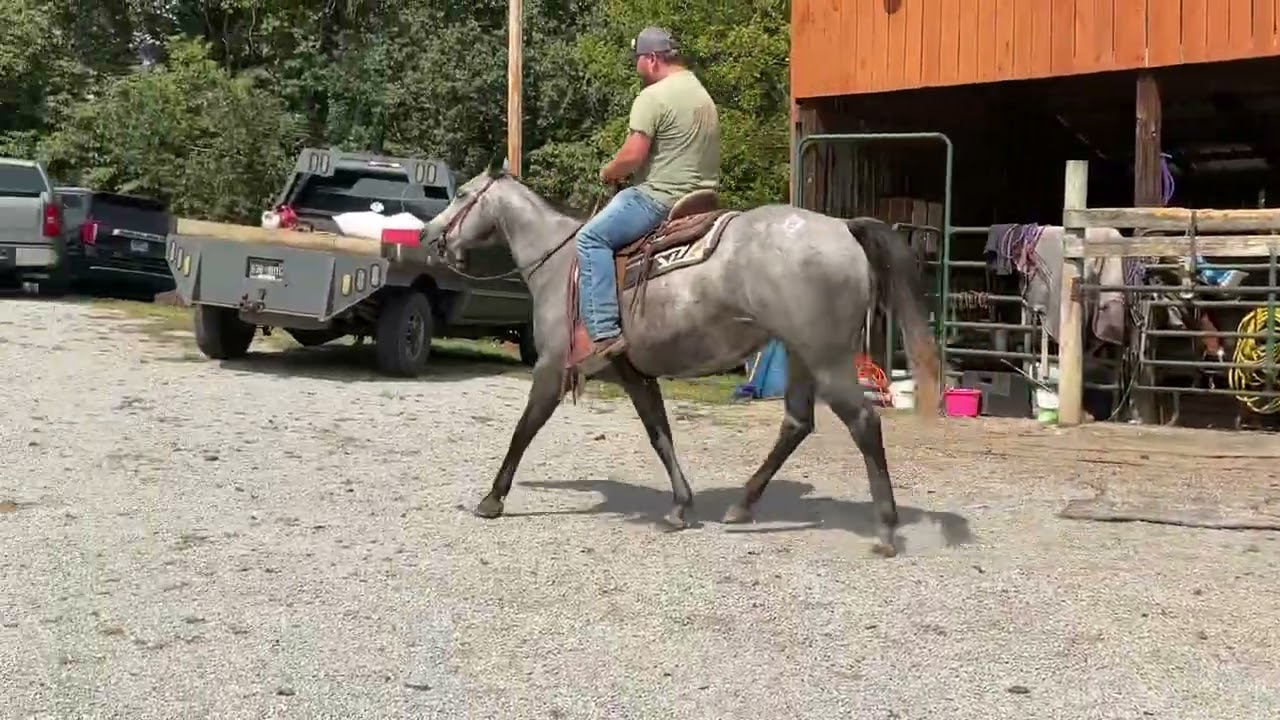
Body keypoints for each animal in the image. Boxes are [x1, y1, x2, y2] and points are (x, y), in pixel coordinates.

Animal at [422, 166, 941, 557]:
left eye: (462, 194)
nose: (428, 234)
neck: (561, 262)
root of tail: (841, 227)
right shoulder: (635, 375)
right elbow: (660, 435)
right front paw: (681, 507)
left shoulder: (551, 368)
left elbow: (524, 430)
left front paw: (492, 498)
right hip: (799, 355)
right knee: (796, 423)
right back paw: (742, 505)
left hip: (828, 358)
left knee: (863, 423)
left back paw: (886, 530)